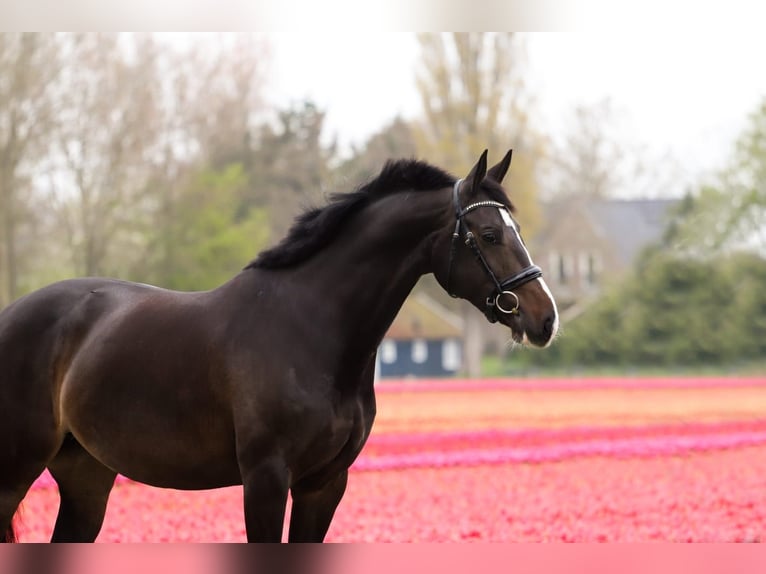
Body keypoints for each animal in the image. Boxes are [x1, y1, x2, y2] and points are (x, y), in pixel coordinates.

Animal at [3, 150, 560, 544]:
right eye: (488, 234)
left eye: (515, 230)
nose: (546, 319)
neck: (311, 329)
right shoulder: (266, 481)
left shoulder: (324, 484)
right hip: (16, 471)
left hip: (86, 476)